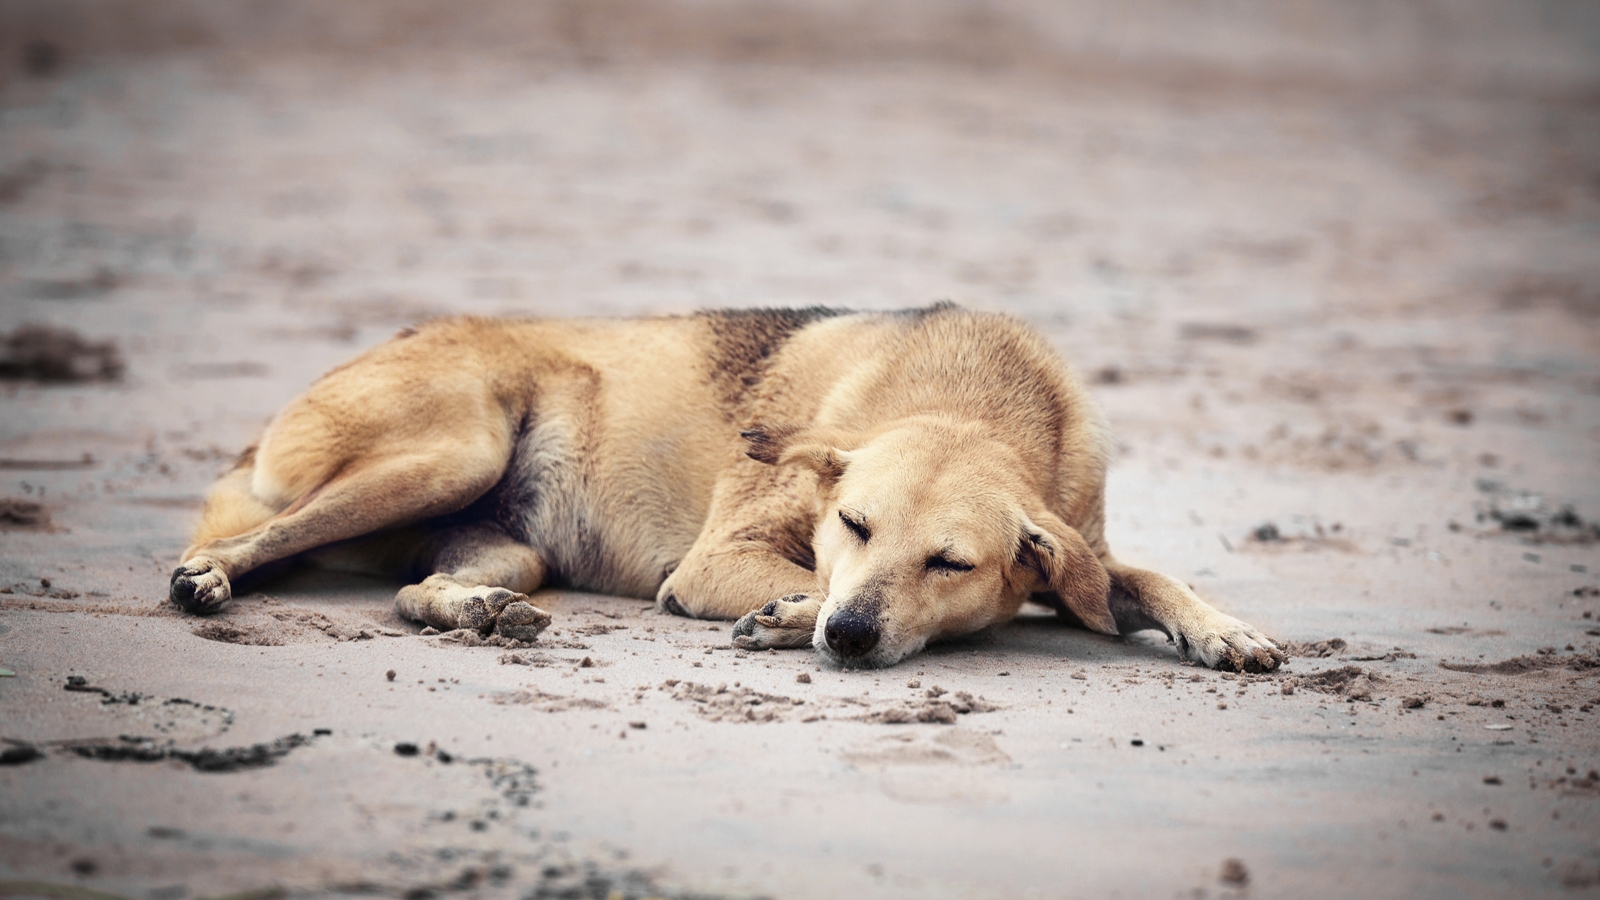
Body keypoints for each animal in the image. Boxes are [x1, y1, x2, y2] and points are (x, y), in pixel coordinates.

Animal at [165, 304, 1286, 669]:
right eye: (853, 523)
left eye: (950, 561)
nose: (848, 640)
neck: (973, 399)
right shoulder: (716, 564)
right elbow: (799, 583)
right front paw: (793, 614)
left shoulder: (1080, 545)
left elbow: (1140, 578)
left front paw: (1224, 629)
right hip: (449, 452)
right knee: (235, 539)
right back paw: (207, 579)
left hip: (505, 539)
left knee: (415, 590)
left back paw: (482, 612)